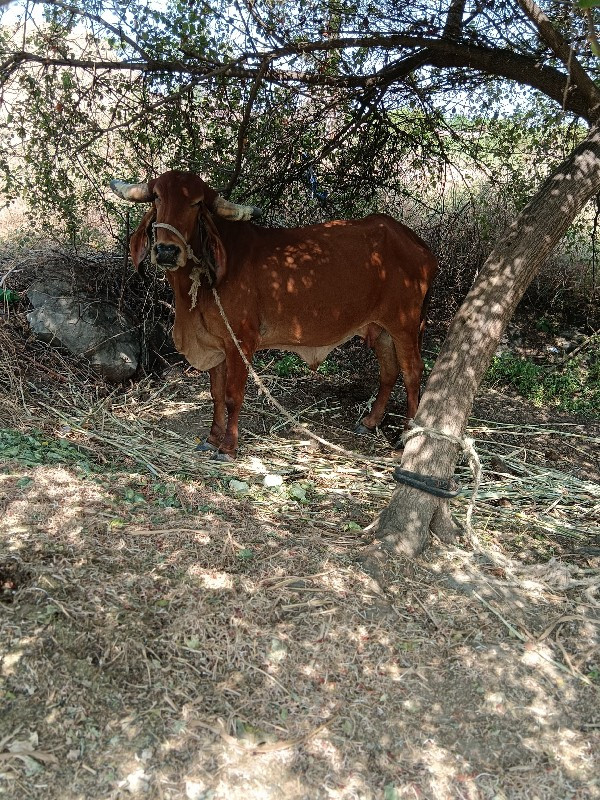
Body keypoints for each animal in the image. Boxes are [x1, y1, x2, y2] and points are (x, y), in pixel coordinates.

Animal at [109, 172, 436, 460]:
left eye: (196, 203)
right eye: (157, 197)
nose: (166, 251)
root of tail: (417, 243)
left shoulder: (240, 341)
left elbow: (232, 395)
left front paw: (227, 448)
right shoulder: (215, 343)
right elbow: (215, 393)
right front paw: (211, 438)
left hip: (404, 325)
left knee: (412, 372)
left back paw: (405, 437)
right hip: (380, 328)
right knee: (389, 372)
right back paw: (370, 422)